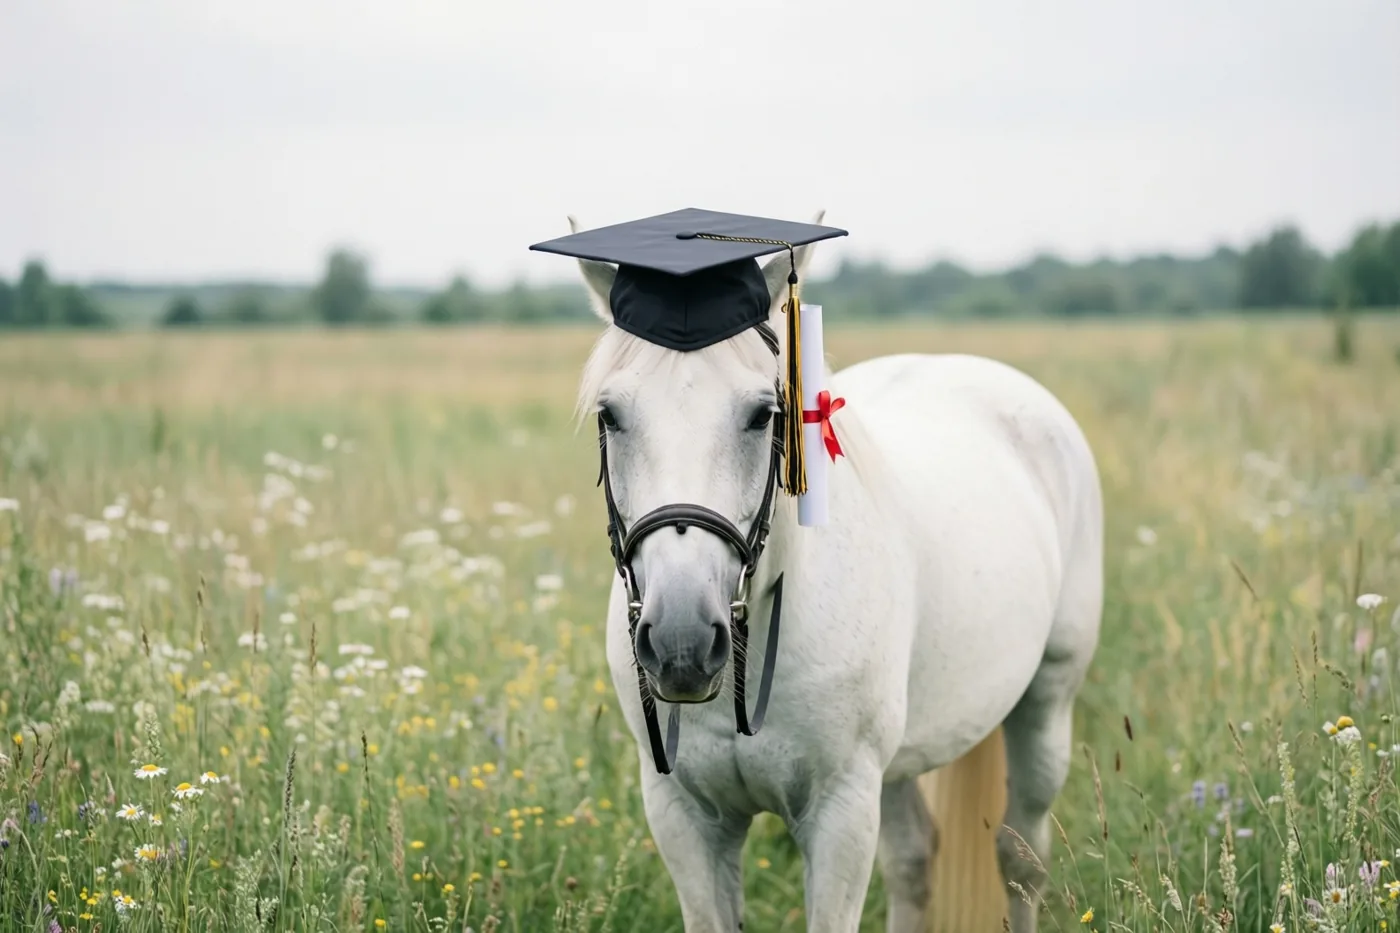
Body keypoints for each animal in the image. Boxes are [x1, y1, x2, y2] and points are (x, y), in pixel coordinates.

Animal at [566, 212, 1104, 932]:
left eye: (762, 414)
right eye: (610, 415)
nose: (682, 642)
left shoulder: (840, 814)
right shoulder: (684, 815)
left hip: (1045, 706)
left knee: (1021, 859)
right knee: (915, 860)